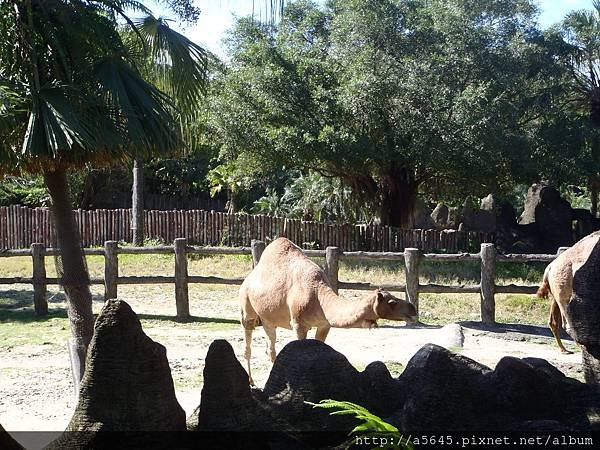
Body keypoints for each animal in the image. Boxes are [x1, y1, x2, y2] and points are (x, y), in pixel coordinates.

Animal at [239, 236, 418, 384]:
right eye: (392, 302)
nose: (413, 309)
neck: (318, 297)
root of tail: (249, 277)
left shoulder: (324, 325)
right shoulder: (298, 324)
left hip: (268, 319)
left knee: (270, 346)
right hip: (246, 306)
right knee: (248, 343)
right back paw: (251, 382)